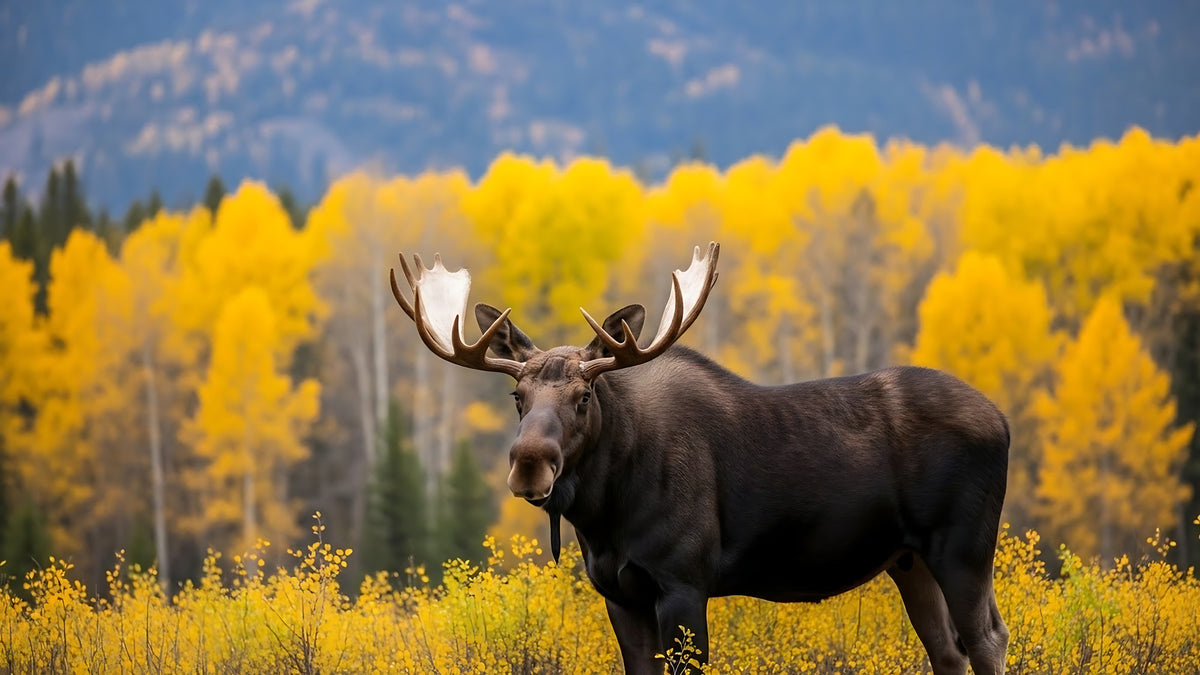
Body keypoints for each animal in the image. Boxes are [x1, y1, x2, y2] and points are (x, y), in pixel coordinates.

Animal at [390, 242, 1010, 674]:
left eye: (584, 396)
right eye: (517, 397)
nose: (529, 462)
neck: (604, 517)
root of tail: (1003, 421)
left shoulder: (683, 581)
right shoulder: (620, 594)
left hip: (963, 548)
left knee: (987, 639)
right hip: (909, 559)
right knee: (948, 651)